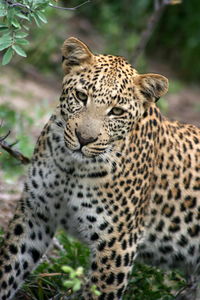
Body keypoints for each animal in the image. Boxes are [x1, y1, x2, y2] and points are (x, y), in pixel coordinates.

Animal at [0, 37, 200, 300]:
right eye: (81, 96)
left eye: (116, 111)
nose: (84, 139)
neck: (71, 168)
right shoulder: (36, 213)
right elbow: (10, 265)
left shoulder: (117, 243)